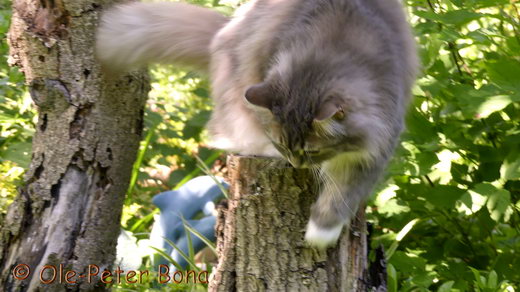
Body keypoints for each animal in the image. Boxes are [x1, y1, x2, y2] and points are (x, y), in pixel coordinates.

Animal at [95, 0, 416, 248]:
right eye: (284, 145)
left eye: (311, 151)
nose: (296, 163)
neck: (328, 55)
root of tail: (223, 31)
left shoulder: (375, 145)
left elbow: (342, 196)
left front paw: (320, 233)